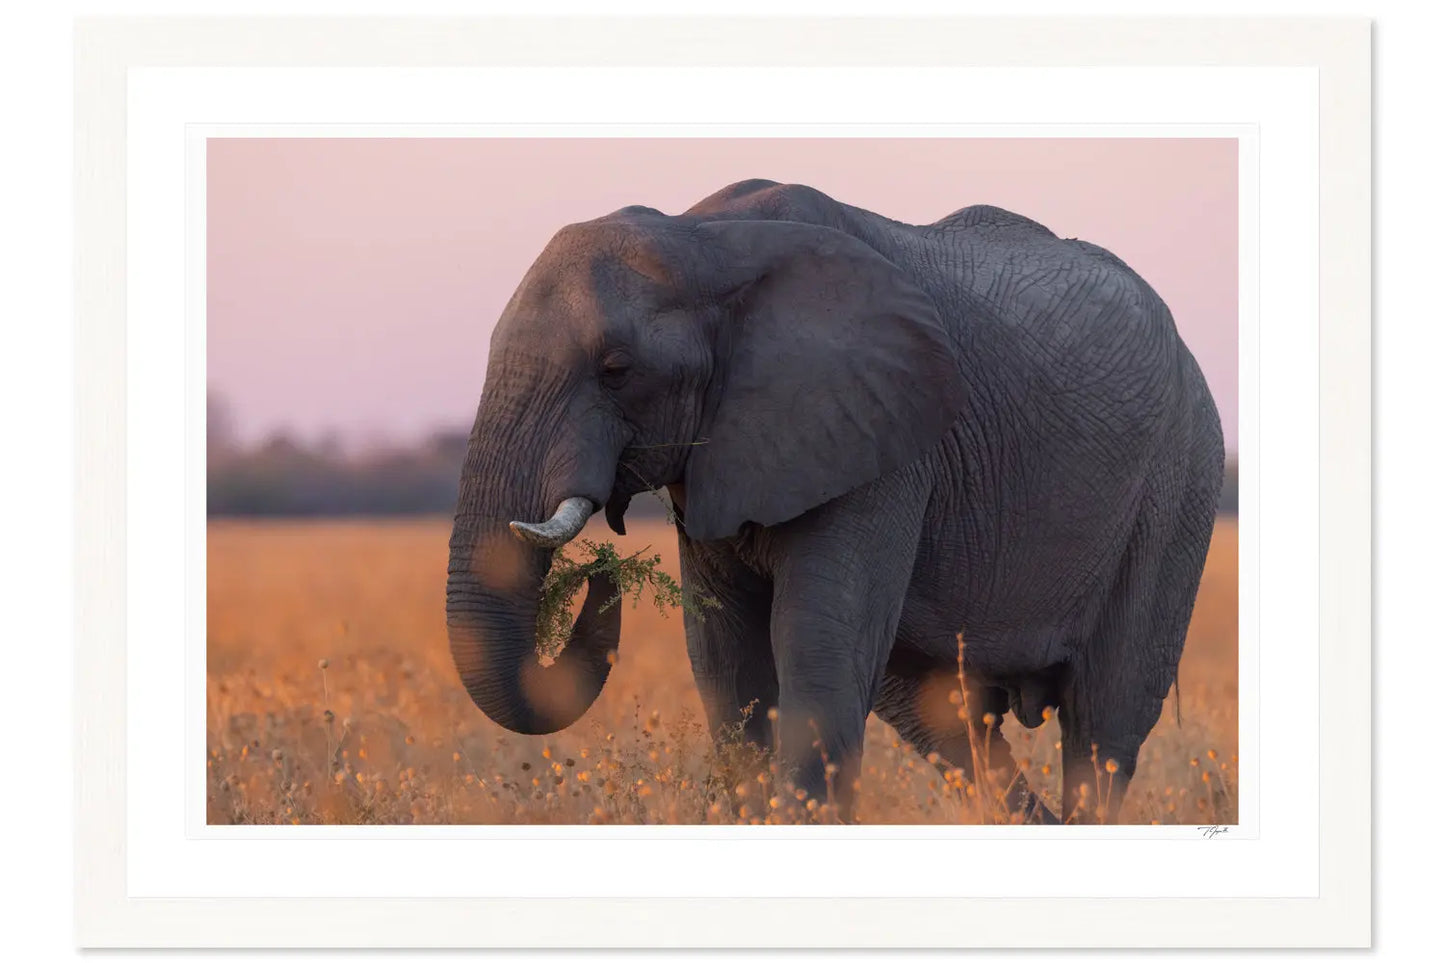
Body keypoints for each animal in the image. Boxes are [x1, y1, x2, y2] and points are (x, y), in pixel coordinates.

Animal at [446, 179, 1225, 824]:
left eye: (615, 370)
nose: (601, 571)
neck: (704, 238)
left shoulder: (883, 439)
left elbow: (816, 650)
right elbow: (724, 661)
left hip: (1178, 483)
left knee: (1104, 723)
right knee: (948, 720)